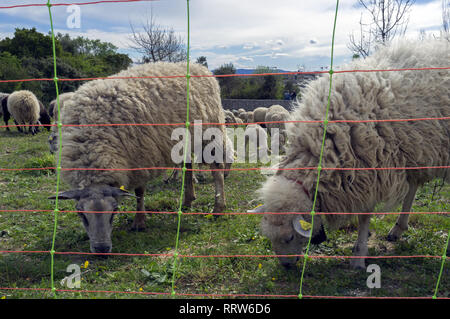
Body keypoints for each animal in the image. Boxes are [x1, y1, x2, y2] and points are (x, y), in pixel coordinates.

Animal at [49, 61, 229, 254]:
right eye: (81, 214)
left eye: (114, 211)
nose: (101, 249)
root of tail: (199, 67)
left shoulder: (140, 156)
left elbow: (139, 192)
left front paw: (139, 221)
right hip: (186, 140)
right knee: (188, 166)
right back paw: (187, 201)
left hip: (209, 132)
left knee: (216, 170)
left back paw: (218, 208)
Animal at [253, 39, 450, 270]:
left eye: (289, 237)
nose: (286, 266)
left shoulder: (370, 170)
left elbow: (364, 216)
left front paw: (358, 256)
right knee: (413, 186)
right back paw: (398, 228)